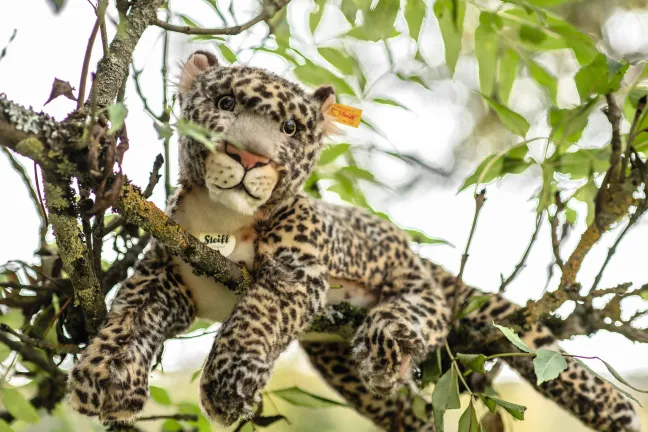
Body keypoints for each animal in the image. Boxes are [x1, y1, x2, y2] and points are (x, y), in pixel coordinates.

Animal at [67, 50, 641, 432]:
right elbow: (131, 317)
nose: (250, 156)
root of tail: (413, 250)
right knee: (405, 412)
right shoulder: (168, 274)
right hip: (341, 365)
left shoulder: (295, 271)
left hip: (405, 283)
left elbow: (253, 318)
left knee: (423, 309)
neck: (222, 220)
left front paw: (228, 385)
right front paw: (106, 375)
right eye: (225, 102)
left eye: (291, 129)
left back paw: (390, 341)